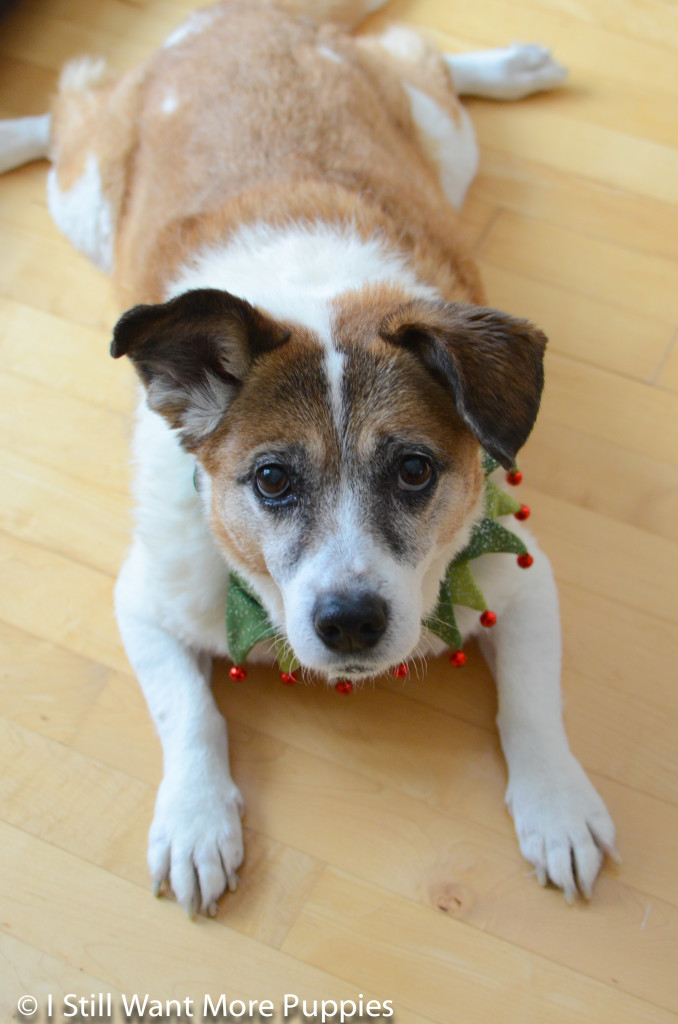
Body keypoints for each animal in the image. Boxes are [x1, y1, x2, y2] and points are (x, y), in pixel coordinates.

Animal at [0, 0, 618, 913]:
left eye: (414, 471)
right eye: (271, 479)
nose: (349, 622)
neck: (319, 301)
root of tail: (246, 16)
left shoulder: (519, 576)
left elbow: (534, 705)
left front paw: (558, 804)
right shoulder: (146, 600)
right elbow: (188, 713)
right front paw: (195, 820)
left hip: (444, 145)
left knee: (422, 64)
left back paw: (512, 65)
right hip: (81, 202)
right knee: (66, 117)